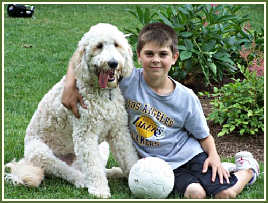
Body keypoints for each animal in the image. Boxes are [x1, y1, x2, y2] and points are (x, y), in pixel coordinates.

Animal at [4, 23, 138, 198]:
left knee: (93, 167)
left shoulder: (119, 131)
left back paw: (114, 172)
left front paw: (138, 174)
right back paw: (82, 180)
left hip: (98, 148)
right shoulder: (85, 135)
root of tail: (25, 162)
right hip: (40, 152)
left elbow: (128, 157)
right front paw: (99, 190)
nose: (113, 63)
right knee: (67, 171)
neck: (102, 93)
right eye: (98, 46)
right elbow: (93, 167)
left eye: (116, 44)